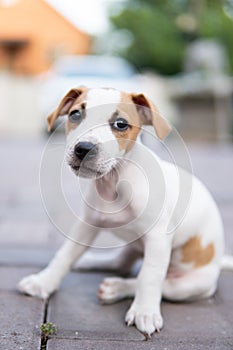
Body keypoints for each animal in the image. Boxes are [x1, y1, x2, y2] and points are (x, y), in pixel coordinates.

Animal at [18, 85, 233, 340]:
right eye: (75, 114)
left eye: (121, 124)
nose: (83, 148)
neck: (114, 181)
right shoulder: (86, 224)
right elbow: (65, 255)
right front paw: (43, 282)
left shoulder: (158, 238)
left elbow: (149, 276)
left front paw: (145, 312)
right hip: (134, 246)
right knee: (122, 263)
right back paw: (95, 264)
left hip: (191, 285)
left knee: (158, 284)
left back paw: (116, 288)